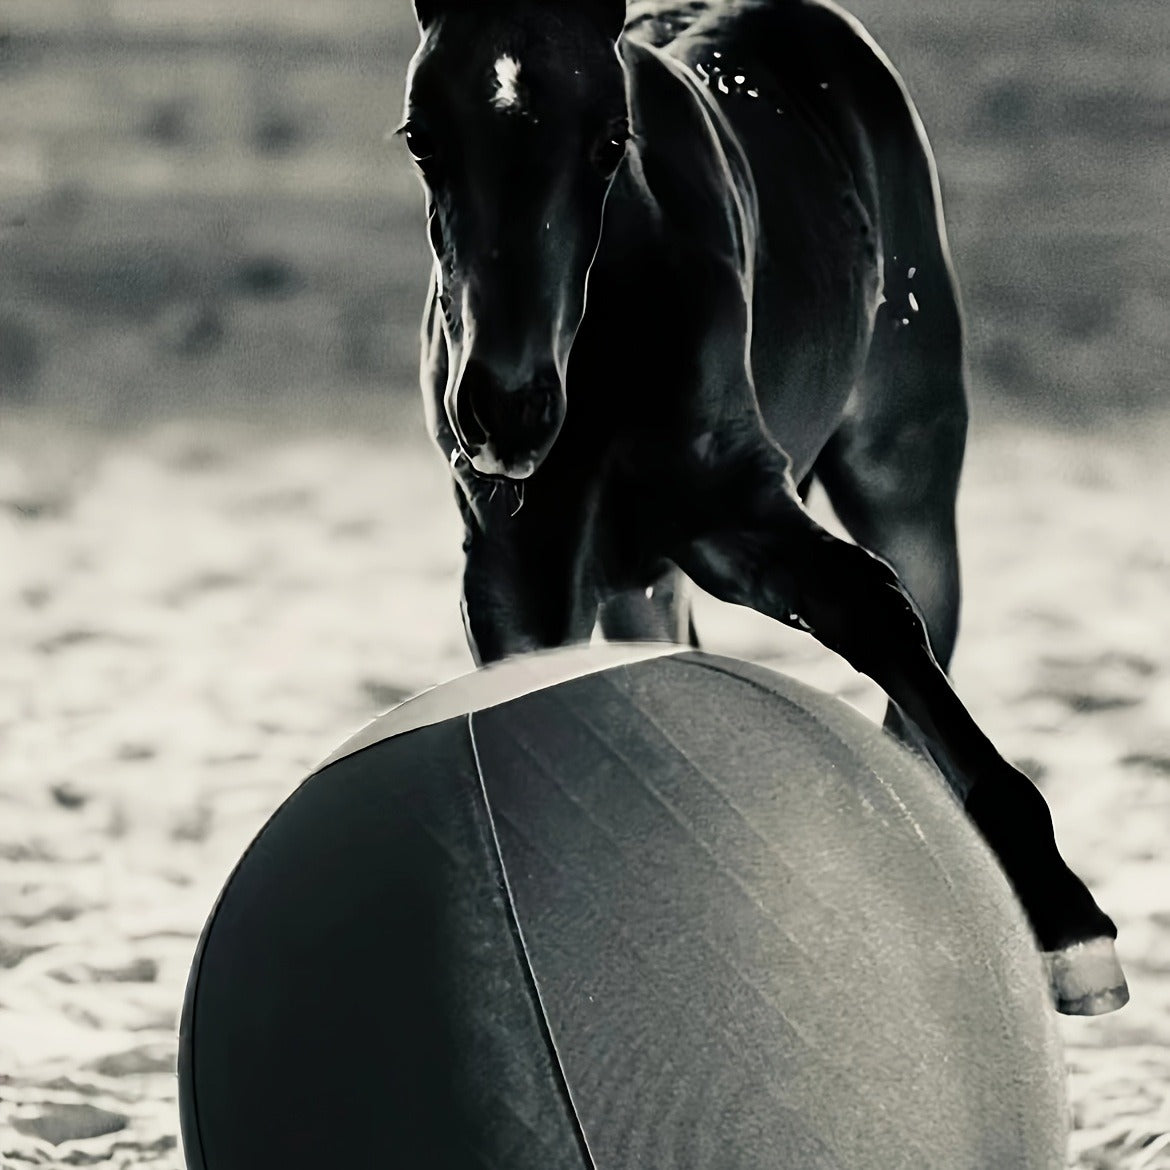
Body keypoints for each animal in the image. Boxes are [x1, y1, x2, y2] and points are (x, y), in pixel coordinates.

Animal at [398, 0, 1127, 1015]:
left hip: (904, 472)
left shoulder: (735, 507)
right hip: (638, 579)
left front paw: (1072, 930)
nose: (506, 409)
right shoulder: (520, 563)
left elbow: (869, 608)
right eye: (421, 137)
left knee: (917, 651)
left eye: (610, 140)